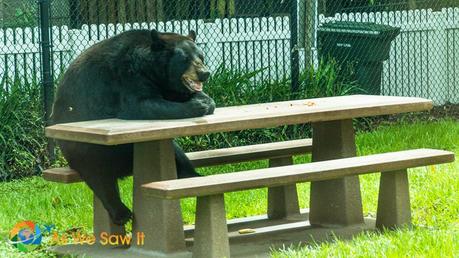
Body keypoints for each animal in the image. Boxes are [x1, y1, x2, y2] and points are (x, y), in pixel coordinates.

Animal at [51, 29, 217, 225]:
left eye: (201, 56)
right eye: (185, 59)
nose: (204, 73)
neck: (150, 68)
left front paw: (204, 99)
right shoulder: (127, 77)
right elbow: (140, 104)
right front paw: (198, 105)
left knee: (178, 155)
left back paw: (194, 176)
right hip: (85, 147)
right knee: (98, 174)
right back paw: (121, 213)